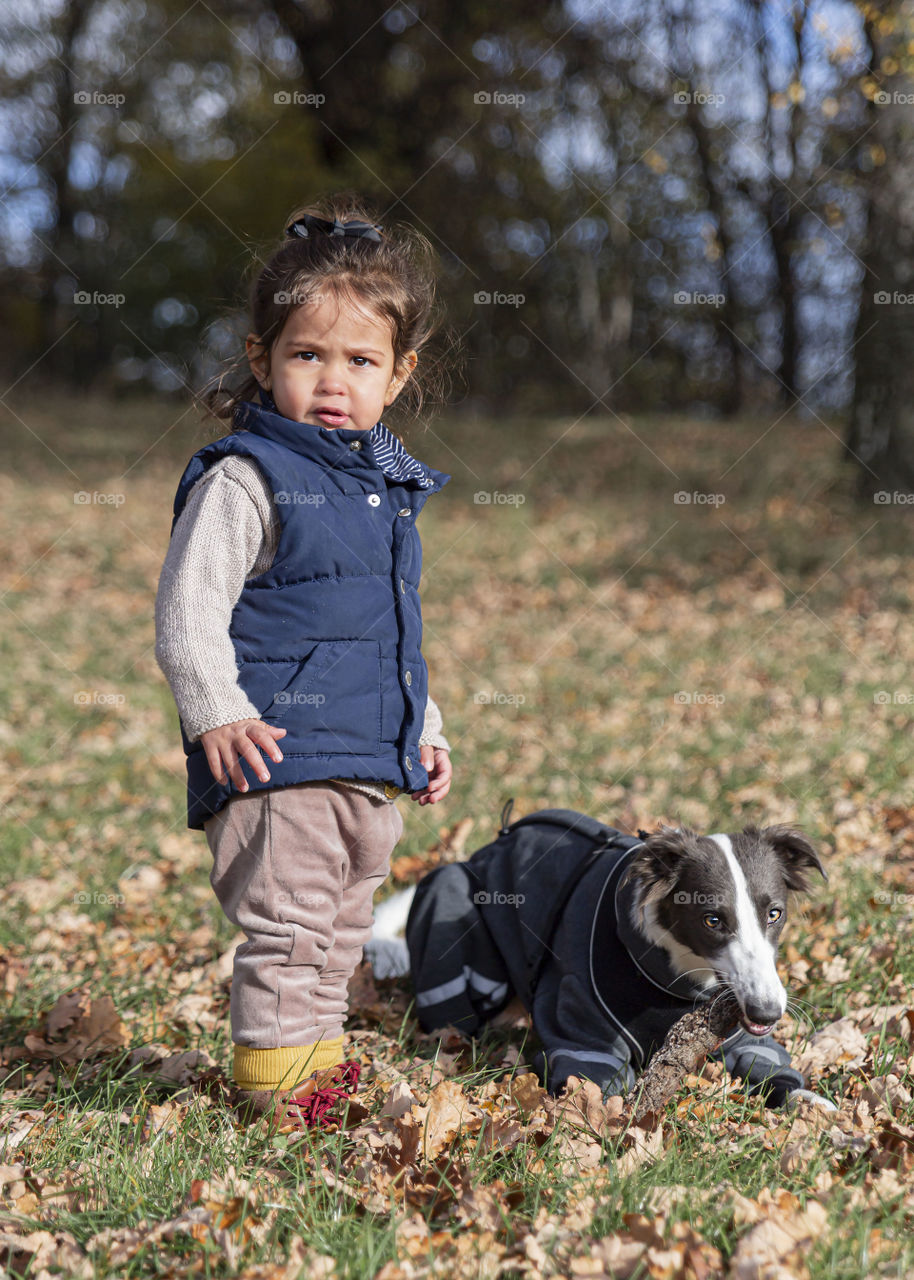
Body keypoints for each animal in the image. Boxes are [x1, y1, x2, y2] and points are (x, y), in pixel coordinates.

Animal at [363, 819, 834, 1111]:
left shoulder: (740, 1033)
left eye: (774, 913)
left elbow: (768, 1063)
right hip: (456, 903)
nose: (768, 1012)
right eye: (712, 920)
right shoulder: (584, 1041)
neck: (673, 979)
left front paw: (816, 1111)